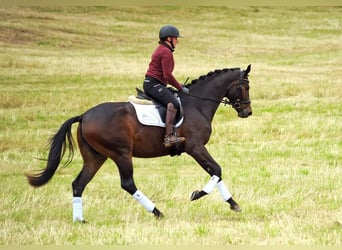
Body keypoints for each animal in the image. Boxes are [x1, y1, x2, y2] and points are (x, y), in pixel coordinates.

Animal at [26, 65, 251, 223]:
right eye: (245, 87)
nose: (247, 112)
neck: (197, 104)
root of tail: (84, 116)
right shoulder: (195, 147)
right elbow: (216, 169)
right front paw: (198, 194)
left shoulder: (196, 149)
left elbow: (215, 171)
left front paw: (233, 204)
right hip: (121, 154)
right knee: (127, 184)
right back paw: (157, 212)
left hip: (96, 157)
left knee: (79, 184)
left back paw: (79, 220)